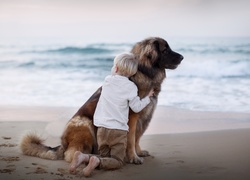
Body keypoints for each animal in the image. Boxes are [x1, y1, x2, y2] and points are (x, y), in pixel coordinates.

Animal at [20, 36, 184, 165]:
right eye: (165, 50)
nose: (182, 57)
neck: (144, 71)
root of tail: (62, 144)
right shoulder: (132, 117)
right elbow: (131, 139)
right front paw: (133, 157)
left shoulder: (144, 117)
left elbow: (137, 137)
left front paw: (139, 152)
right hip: (84, 123)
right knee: (72, 154)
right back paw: (89, 156)